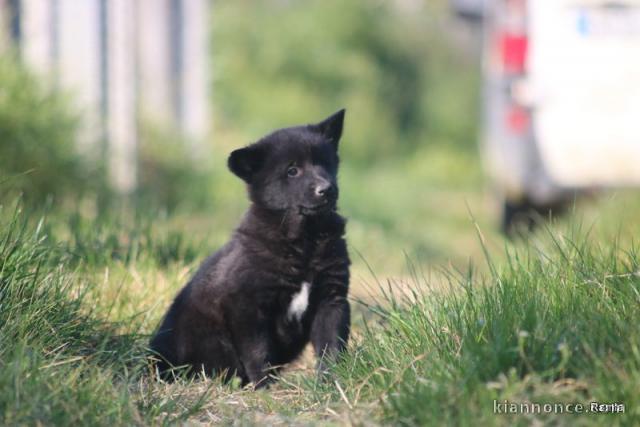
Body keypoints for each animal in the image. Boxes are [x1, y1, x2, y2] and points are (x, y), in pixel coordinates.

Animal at [149, 110, 350, 388]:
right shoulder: (248, 307)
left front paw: (331, 382)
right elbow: (258, 351)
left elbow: (331, 345)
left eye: (325, 163)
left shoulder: (332, 299)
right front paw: (265, 386)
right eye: (292, 171)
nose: (326, 189)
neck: (304, 242)